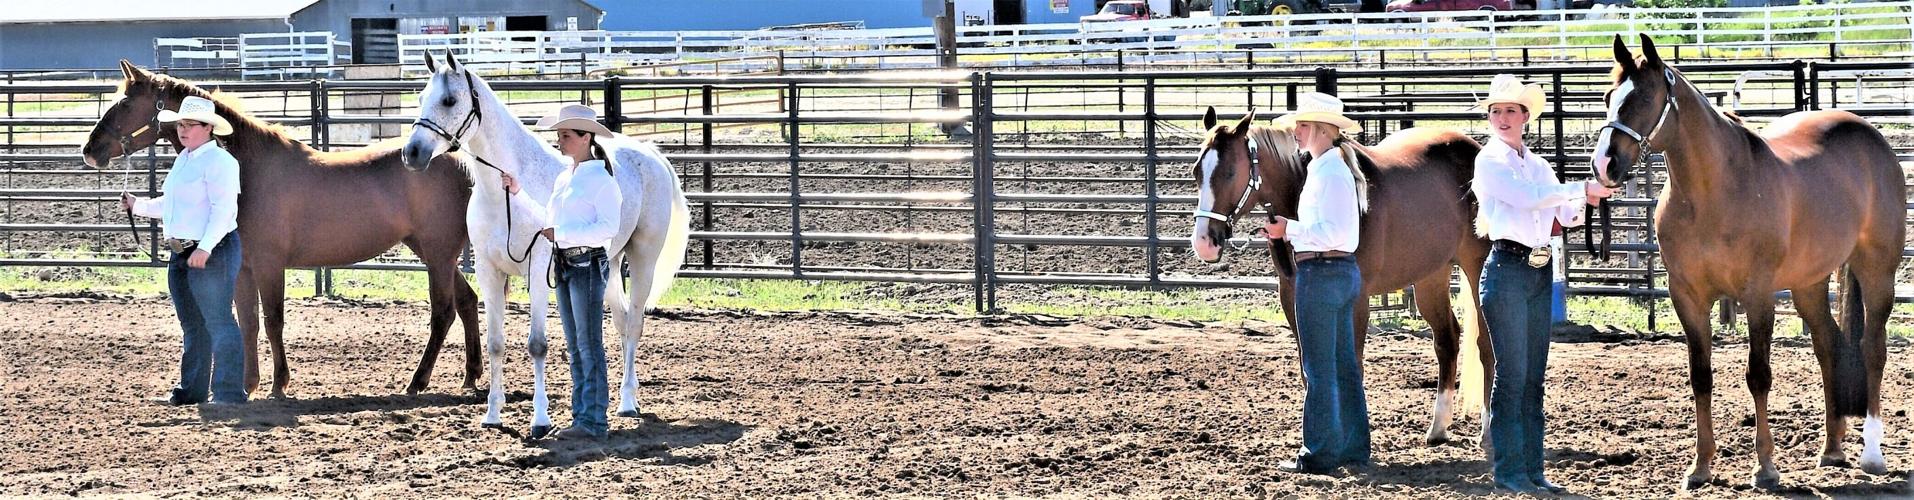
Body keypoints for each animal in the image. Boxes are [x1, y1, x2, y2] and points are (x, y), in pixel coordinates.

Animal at [81, 60, 484, 398]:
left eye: (125, 104)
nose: (89, 150)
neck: (248, 168)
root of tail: (458, 159)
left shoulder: (270, 265)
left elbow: (273, 320)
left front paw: (278, 386)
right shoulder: (243, 269)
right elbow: (248, 324)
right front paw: (247, 386)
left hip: (437, 253)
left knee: (443, 312)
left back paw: (417, 382)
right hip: (431, 252)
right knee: (466, 301)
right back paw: (470, 376)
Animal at [400, 52, 692, 437]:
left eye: (449, 100)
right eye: (421, 98)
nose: (412, 153)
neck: (505, 195)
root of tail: (652, 155)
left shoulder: (537, 268)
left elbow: (537, 345)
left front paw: (540, 419)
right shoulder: (489, 272)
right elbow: (496, 343)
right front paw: (492, 414)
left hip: (643, 257)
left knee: (635, 324)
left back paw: (628, 402)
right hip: (611, 263)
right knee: (621, 321)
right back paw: (622, 397)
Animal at [1188, 107, 1495, 447]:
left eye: (1231, 173)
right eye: (1197, 172)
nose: (1204, 242)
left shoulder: (1357, 299)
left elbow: (1352, 366)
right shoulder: (1292, 296)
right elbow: (1310, 369)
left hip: (1477, 266)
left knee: (1486, 345)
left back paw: (1487, 430)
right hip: (1431, 273)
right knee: (1447, 339)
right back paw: (1438, 427)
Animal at [1594, 34, 1905, 490]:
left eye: (1645, 98)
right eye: (1607, 97)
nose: (1604, 165)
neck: (1714, 193)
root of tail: (1872, 139)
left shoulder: (1757, 295)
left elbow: (1758, 375)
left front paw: (1766, 467)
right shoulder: (1687, 297)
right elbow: (1700, 376)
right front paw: (1700, 467)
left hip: (1877, 271)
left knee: (1873, 350)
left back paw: (1872, 455)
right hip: (1808, 283)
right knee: (1828, 344)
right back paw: (1831, 449)